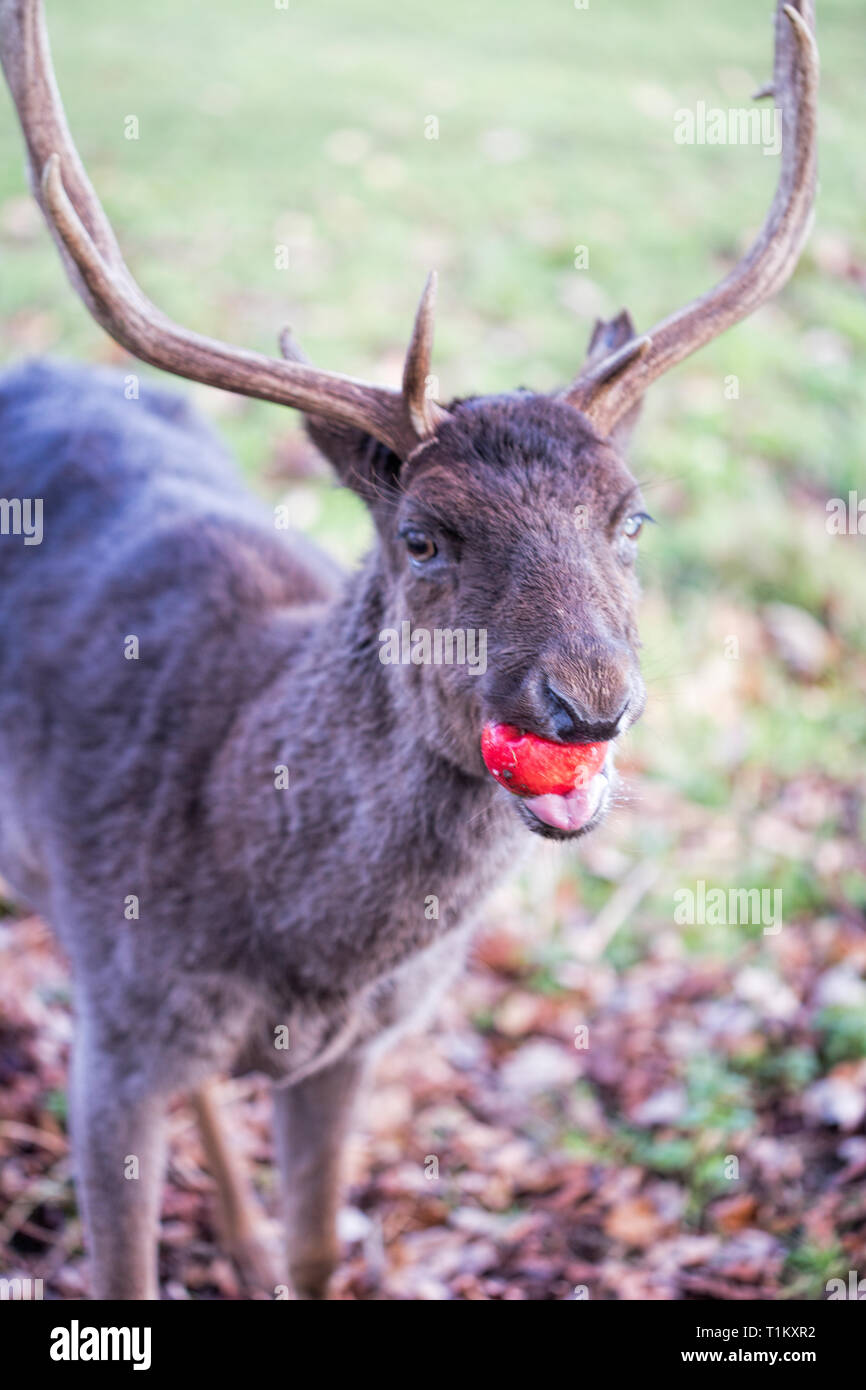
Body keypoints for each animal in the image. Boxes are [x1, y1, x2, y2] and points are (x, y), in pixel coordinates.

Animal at [0, 0, 817, 1295]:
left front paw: (276, 1249)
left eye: (632, 517)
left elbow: (320, 1248)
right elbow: (119, 1265)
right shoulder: (114, 1039)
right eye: (423, 536)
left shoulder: (347, 1053)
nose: (590, 699)